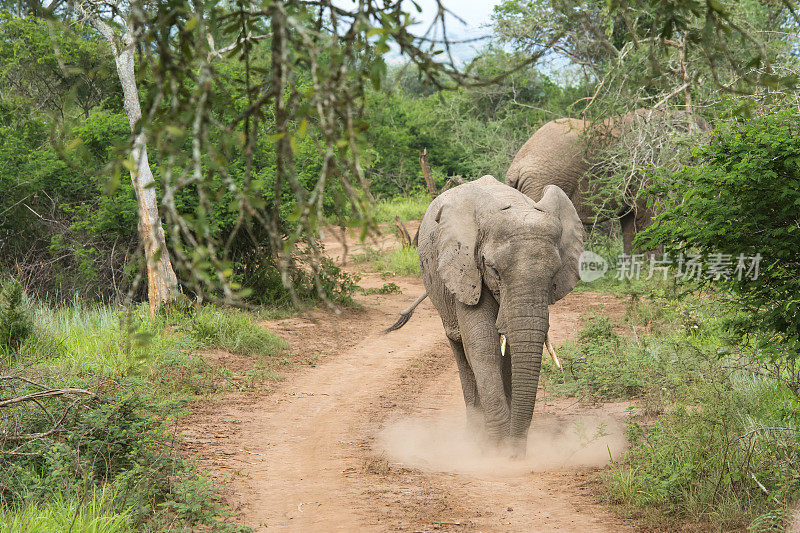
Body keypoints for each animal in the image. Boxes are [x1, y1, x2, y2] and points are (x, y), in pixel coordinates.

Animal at [386, 176, 580, 458]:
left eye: (554, 274)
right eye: (494, 270)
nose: (515, 454)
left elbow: (506, 346)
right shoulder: (466, 268)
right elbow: (483, 343)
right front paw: (494, 448)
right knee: (459, 347)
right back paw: (474, 436)